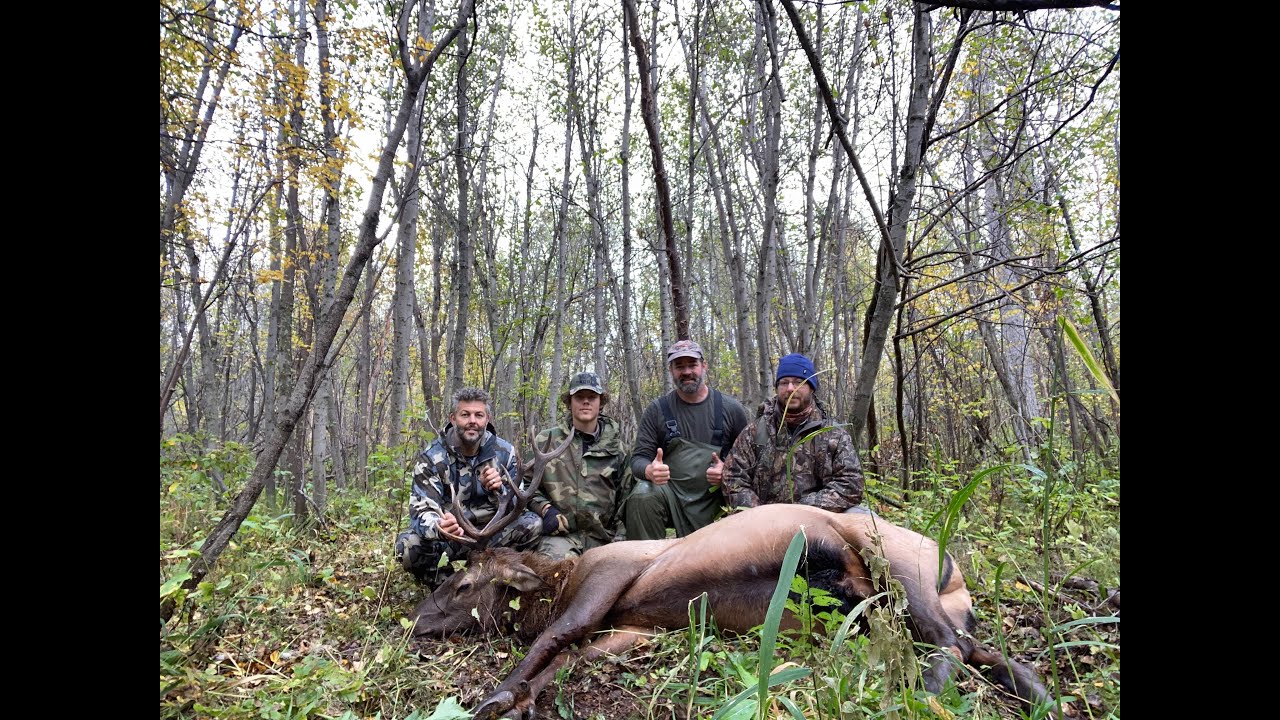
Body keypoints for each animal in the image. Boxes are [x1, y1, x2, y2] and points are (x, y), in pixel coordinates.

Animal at [410, 431, 1062, 720]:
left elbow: (553, 638)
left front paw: (498, 695)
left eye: (463, 584)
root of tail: (955, 571)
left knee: (948, 645)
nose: (417, 620)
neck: (556, 583)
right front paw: (522, 700)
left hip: (900, 570)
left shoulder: (611, 574)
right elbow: (568, 657)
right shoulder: (633, 629)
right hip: (916, 605)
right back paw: (1042, 696)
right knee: (983, 649)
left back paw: (919, 696)